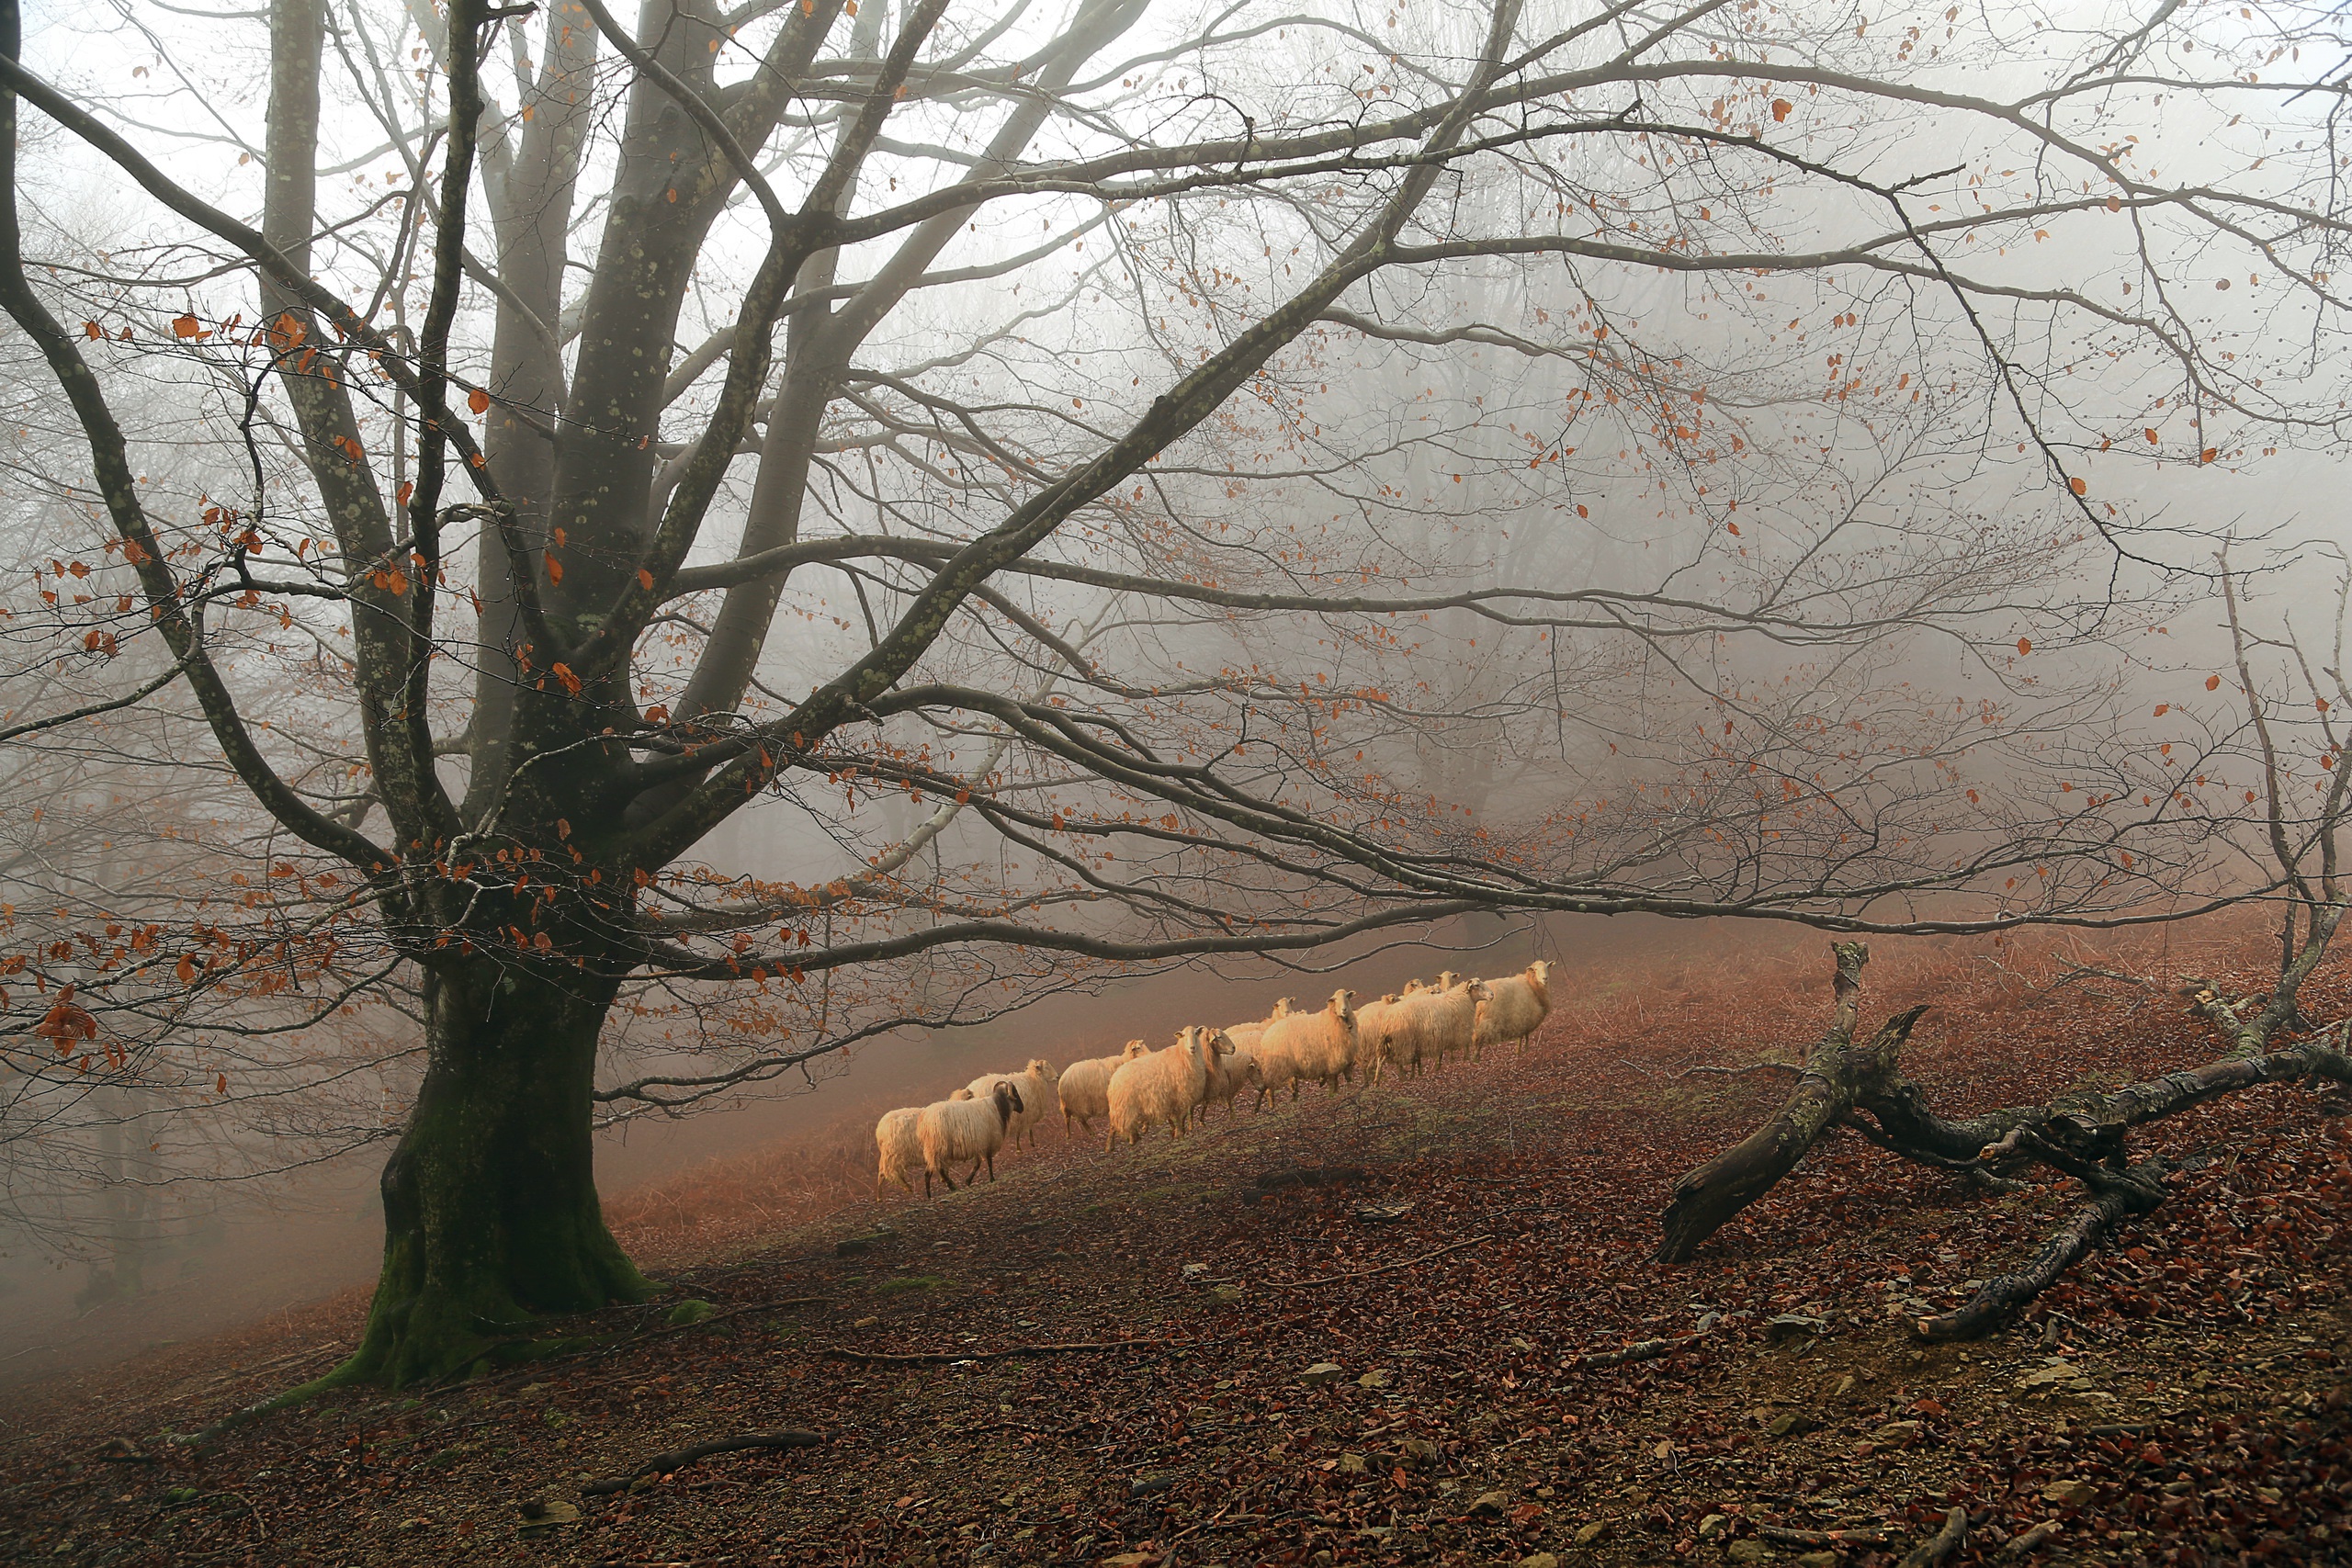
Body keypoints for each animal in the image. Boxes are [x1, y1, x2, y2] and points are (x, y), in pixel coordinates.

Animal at [1101, 1029, 1223, 1152]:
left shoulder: (1178, 1098)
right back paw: (1111, 1146)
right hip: (1123, 1106)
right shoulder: (1179, 1096)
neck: (1182, 1057)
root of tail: (1114, 1078)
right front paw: (1179, 1135)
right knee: (1114, 1125)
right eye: (1183, 1036)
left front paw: (1178, 1133)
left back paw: (1133, 1138)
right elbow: (1178, 1118)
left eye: (1196, 1033)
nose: (1192, 1048)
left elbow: (1179, 1117)